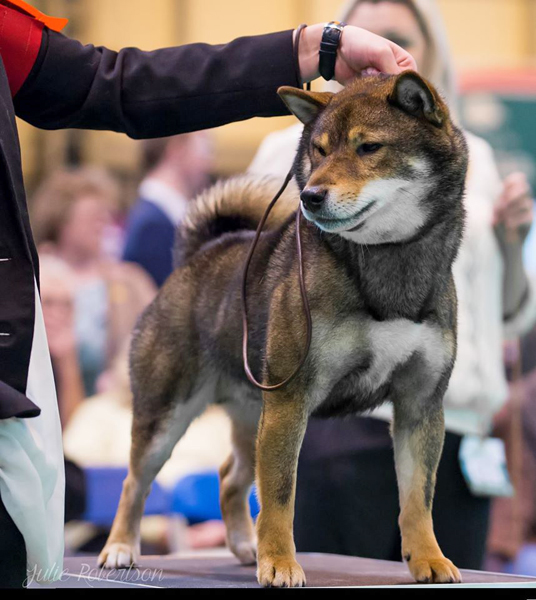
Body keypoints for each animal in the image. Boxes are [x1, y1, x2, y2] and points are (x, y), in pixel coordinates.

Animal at [98, 70, 466, 584]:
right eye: (319, 150)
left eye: (369, 147)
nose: (310, 195)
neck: (387, 261)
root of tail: (197, 257)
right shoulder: (291, 401)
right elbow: (278, 495)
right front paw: (279, 563)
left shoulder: (420, 405)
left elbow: (418, 497)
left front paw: (429, 559)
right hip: (170, 414)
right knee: (136, 480)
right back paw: (120, 547)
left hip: (254, 410)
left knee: (229, 476)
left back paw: (242, 546)